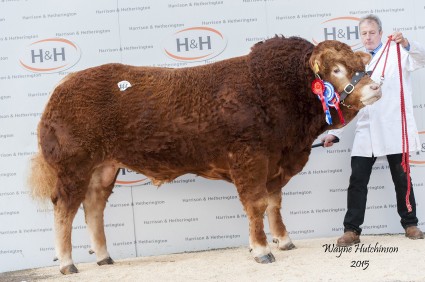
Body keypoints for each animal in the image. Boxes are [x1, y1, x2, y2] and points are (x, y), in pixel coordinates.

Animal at [29, 35, 380, 274]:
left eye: (361, 66)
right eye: (336, 69)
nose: (375, 88)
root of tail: (64, 85)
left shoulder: (275, 164)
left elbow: (274, 204)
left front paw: (284, 240)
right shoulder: (249, 158)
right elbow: (256, 204)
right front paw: (261, 250)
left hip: (104, 167)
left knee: (94, 206)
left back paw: (103, 256)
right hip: (73, 166)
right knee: (65, 208)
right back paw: (67, 262)